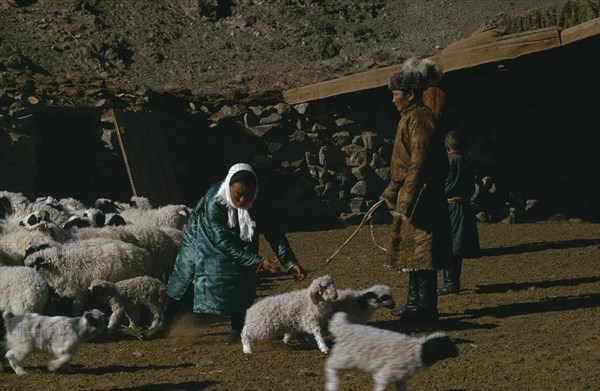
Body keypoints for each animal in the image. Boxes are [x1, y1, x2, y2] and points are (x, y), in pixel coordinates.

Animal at [326, 312, 458, 391]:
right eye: (446, 346)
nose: (458, 352)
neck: (419, 351)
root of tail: (344, 327)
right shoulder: (384, 374)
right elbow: (380, 388)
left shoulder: (400, 379)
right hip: (345, 358)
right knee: (330, 365)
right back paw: (332, 385)